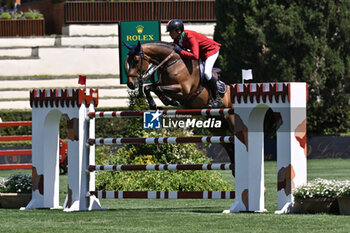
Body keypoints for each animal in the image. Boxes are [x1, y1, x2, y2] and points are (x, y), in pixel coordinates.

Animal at [122, 40, 238, 171]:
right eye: (128, 61)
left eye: (136, 61)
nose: (131, 84)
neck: (171, 63)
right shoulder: (163, 84)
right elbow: (149, 87)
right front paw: (157, 104)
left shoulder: (183, 90)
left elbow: (157, 88)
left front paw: (168, 101)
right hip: (217, 128)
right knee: (229, 146)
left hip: (232, 121)